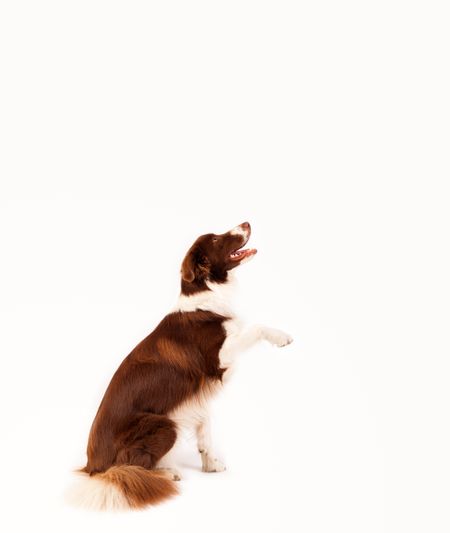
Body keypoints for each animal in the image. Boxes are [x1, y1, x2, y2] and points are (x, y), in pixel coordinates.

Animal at [71, 222, 292, 510]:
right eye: (217, 239)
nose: (246, 223)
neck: (207, 293)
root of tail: (91, 468)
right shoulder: (217, 360)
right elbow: (255, 327)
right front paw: (281, 336)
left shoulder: (198, 394)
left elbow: (205, 427)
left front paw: (211, 464)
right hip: (164, 425)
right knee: (126, 469)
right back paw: (164, 472)